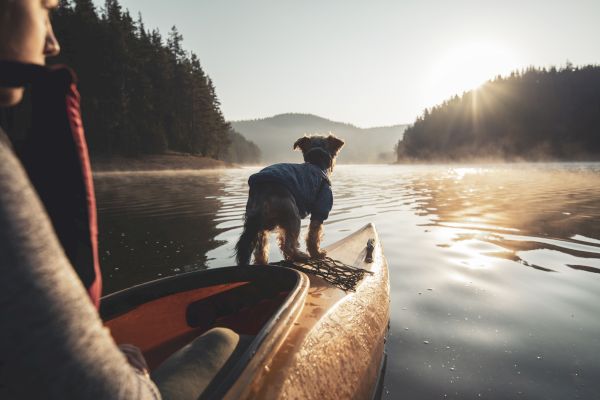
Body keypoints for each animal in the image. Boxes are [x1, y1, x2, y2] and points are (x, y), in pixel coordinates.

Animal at [236, 134, 344, 266]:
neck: (317, 163)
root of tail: (262, 190)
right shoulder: (321, 208)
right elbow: (313, 235)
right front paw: (317, 253)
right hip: (292, 216)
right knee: (287, 245)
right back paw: (299, 256)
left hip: (260, 223)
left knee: (260, 248)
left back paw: (264, 261)